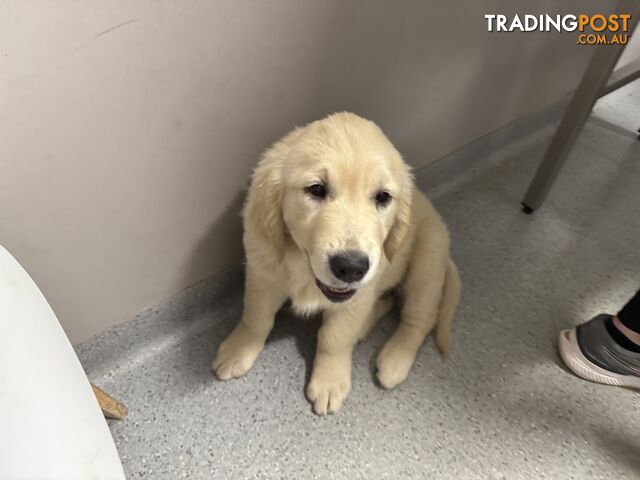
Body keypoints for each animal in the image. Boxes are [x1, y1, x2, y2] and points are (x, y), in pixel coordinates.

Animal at [214, 113, 460, 416]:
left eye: (383, 197)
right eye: (316, 189)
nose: (351, 267)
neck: (303, 266)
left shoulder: (359, 293)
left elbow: (335, 337)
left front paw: (329, 381)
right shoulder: (262, 271)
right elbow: (255, 316)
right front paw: (238, 349)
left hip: (428, 259)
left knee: (420, 318)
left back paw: (394, 360)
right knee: (389, 300)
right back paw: (365, 327)